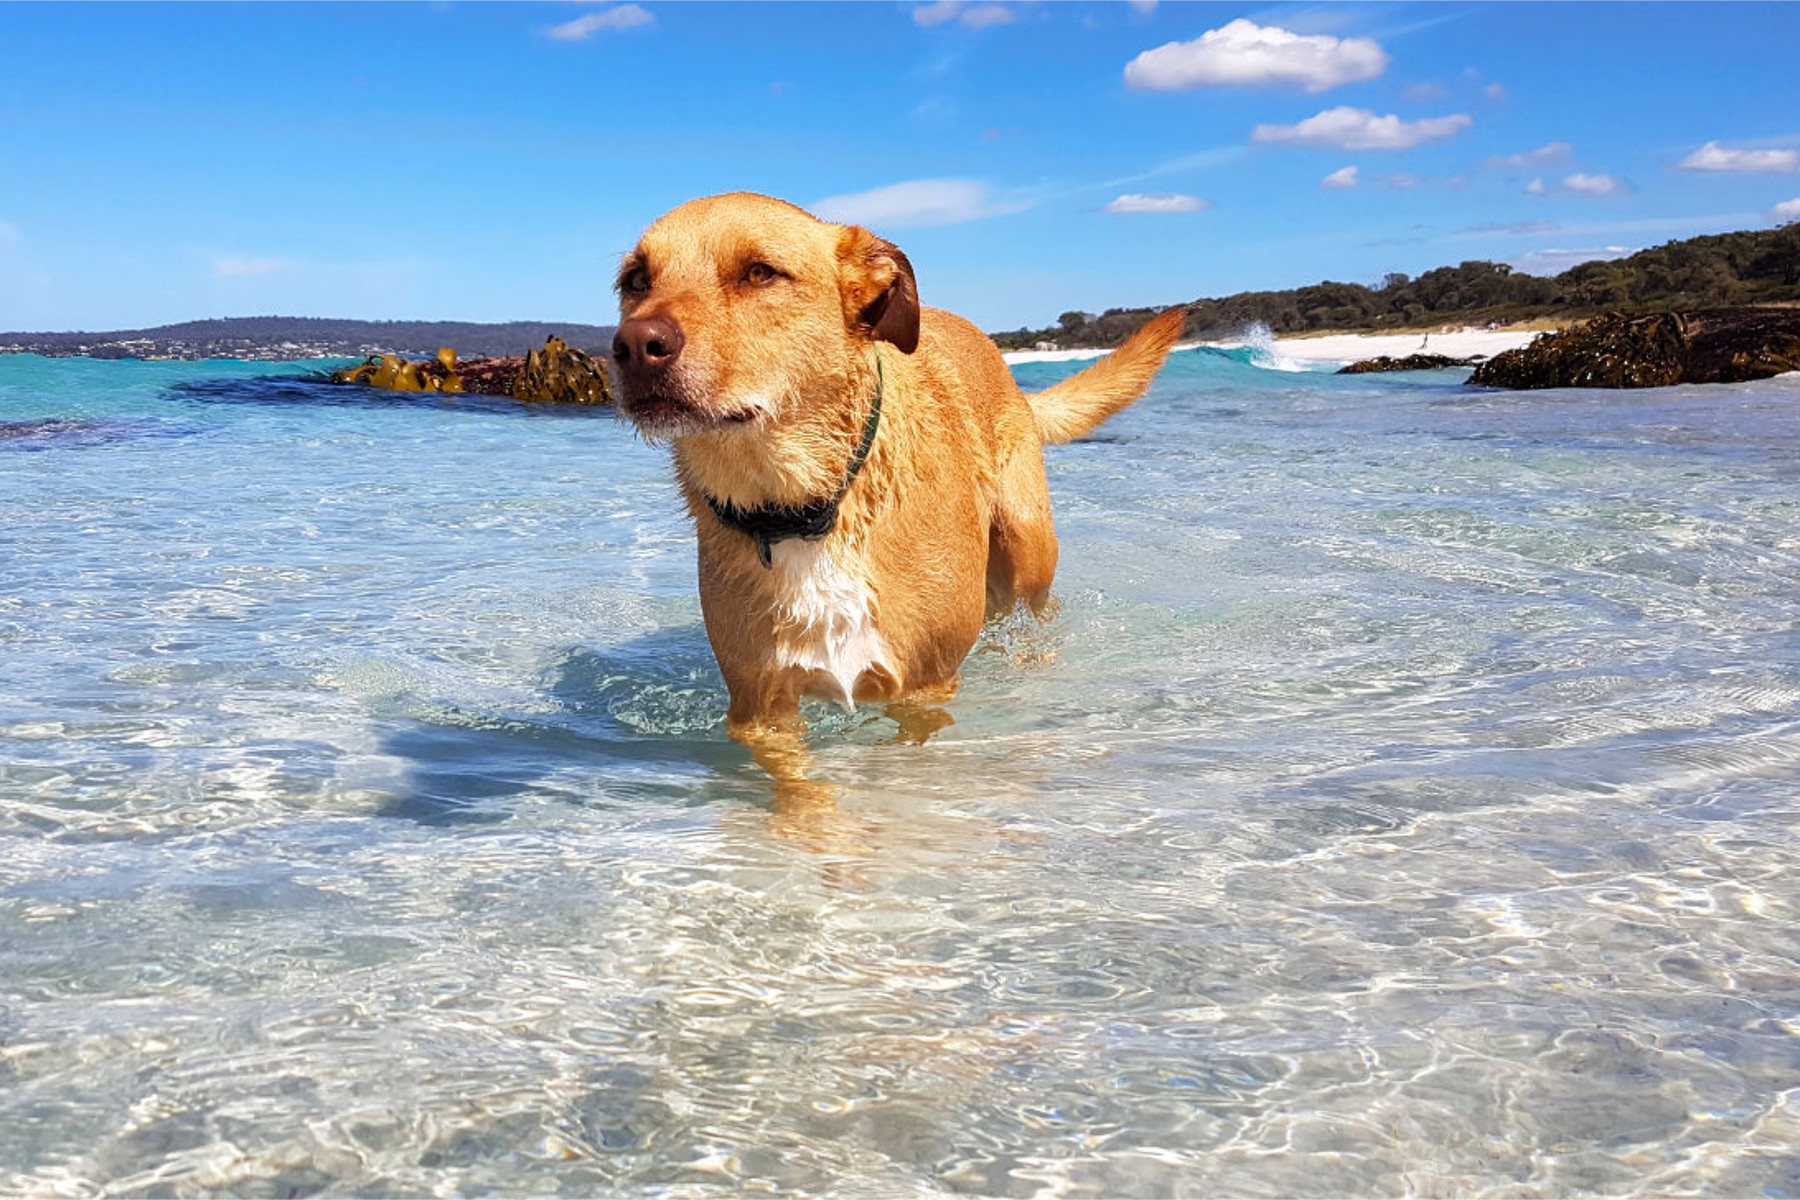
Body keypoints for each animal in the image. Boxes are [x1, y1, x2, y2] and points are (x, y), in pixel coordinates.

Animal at [612, 192, 1188, 766]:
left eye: (759, 272)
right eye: (635, 281)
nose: (634, 345)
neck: (806, 506)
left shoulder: (924, 689)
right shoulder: (762, 710)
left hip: (1027, 551)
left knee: (1032, 617)